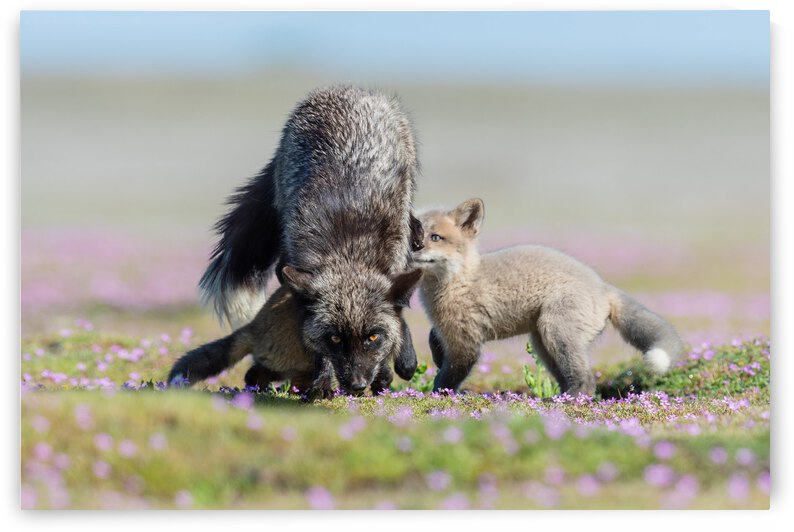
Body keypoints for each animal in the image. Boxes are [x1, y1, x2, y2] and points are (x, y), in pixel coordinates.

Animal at [194, 85, 424, 397]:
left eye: (373, 337)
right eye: (335, 339)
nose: (356, 386)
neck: (348, 251)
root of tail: (345, 89)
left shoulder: (395, 262)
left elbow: (397, 319)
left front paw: (392, 366)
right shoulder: (295, 276)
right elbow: (312, 340)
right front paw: (323, 381)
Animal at [412, 198, 684, 397]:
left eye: (435, 237)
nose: (413, 249)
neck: (462, 281)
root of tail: (603, 286)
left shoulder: (466, 342)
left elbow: (448, 376)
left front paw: (438, 394)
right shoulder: (450, 331)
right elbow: (434, 339)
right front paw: (436, 354)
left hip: (555, 331)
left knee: (586, 380)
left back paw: (569, 400)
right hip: (542, 342)